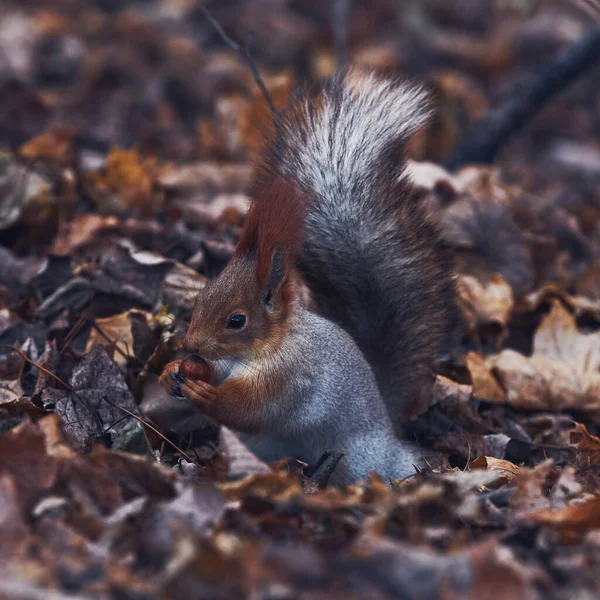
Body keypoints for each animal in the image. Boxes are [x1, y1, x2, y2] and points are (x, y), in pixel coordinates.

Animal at [159, 68, 454, 486]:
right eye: (201, 298)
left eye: (237, 320)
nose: (190, 344)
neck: (261, 350)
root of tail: (390, 433)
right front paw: (170, 372)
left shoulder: (291, 379)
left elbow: (253, 410)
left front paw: (209, 397)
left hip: (356, 458)